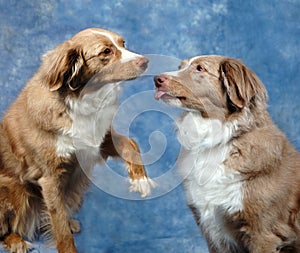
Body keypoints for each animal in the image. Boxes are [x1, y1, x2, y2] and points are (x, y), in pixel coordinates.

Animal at [0, 27, 155, 253]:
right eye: (106, 52)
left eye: (123, 43)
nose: (145, 61)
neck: (83, 99)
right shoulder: (49, 177)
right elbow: (60, 228)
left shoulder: (99, 141)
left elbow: (131, 144)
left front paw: (140, 180)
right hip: (14, 188)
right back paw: (16, 240)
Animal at [155, 55, 300, 253]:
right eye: (180, 67)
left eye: (200, 68)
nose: (156, 79)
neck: (214, 142)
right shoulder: (213, 230)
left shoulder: (263, 232)